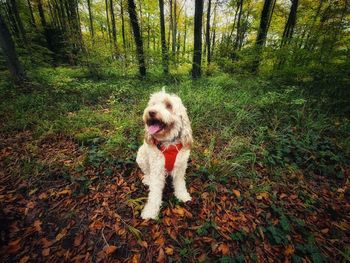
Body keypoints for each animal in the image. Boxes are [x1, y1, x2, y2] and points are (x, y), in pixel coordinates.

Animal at [137, 89, 193, 220]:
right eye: (153, 104)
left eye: (169, 105)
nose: (151, 112)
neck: (168, 142)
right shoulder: (157, 170)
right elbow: (154, 193)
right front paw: (150, 211)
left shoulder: (180, 168)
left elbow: (180, 184)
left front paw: (183, 196)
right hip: (141, 156)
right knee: (147, 172)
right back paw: (147, 179)